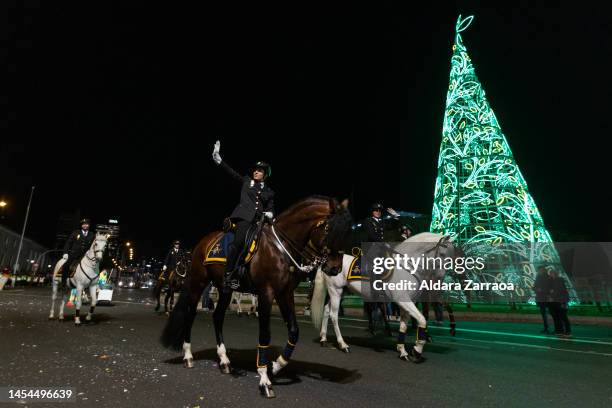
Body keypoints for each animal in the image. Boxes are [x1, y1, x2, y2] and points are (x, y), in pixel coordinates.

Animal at [160, 197, 352, 398]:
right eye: (329, 228)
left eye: (348, 231)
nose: (335, 269)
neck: (280, 247)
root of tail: (202, 243)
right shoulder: (266, 293)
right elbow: (265, 334)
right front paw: (264, 377)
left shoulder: (285, 293)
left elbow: (294, 331)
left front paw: (275, 366)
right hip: (198, 282)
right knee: (190, 315)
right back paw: (188, 355)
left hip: (225, 289)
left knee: (218, 317)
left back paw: (224, 359)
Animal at [310, 233, 460, 364]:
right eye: (442, 254)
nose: (440, 278)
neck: (406, 267)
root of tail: (326, 262)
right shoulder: (403, 300)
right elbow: (422, 320)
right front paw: (417, 351)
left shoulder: (406, 302)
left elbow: (403, 326)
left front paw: (402, 351)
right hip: (335, 291)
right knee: (334, 315)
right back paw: (343, 345)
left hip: (340, 292)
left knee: (326, 311)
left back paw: (323, 339)